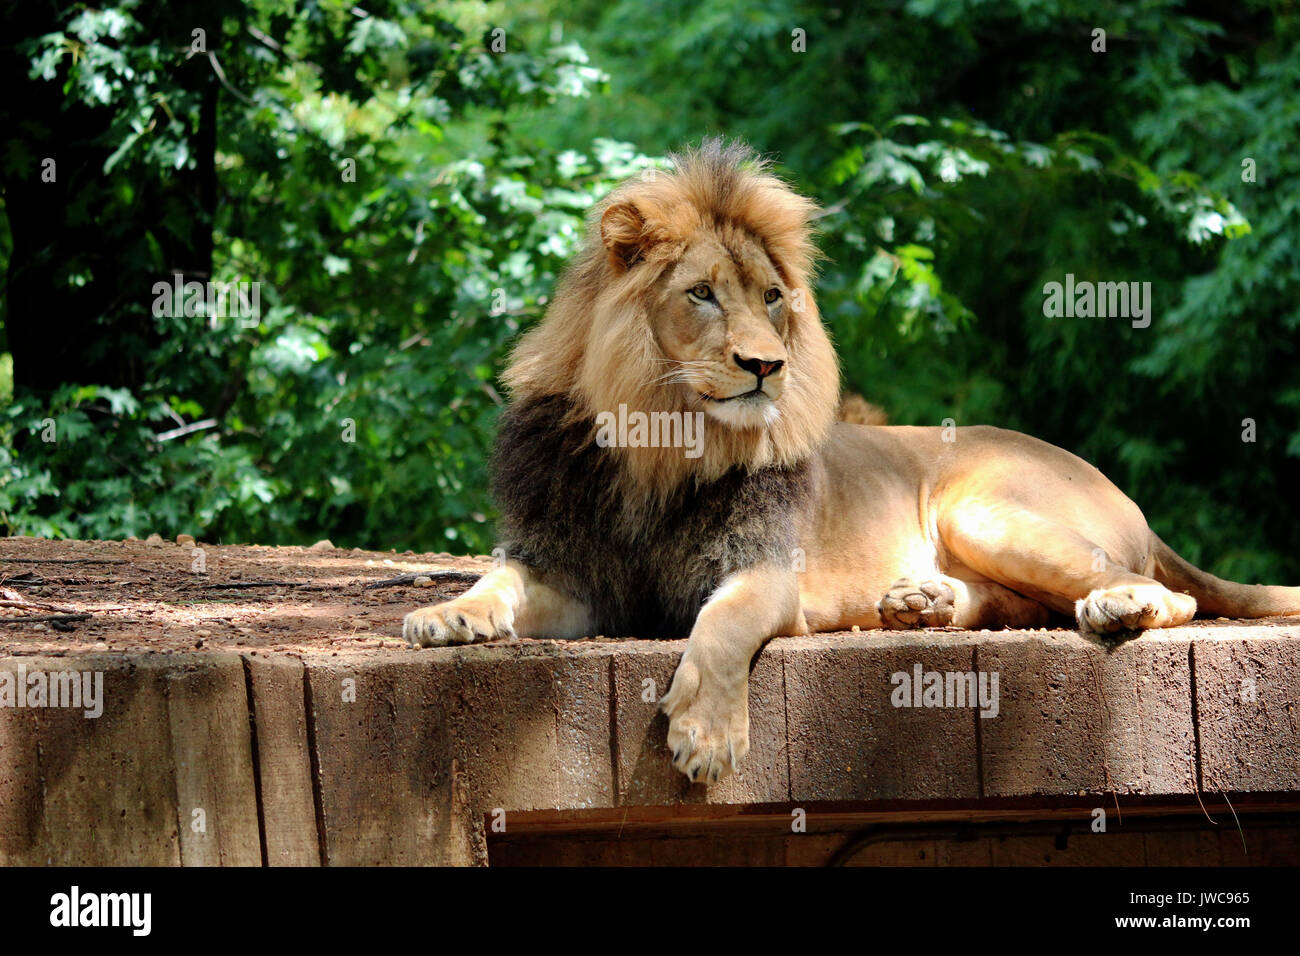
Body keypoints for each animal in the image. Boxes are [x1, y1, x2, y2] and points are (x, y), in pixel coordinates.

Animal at [405, 140, 1300, 785]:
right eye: (701, 294)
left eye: (771, 297)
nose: (765, 366)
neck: (659, 447)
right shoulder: (572, 573)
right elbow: (500, 579)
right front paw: (448, 615)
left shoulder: (766, 572)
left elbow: (720, 629)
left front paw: (706, 732)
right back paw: (922, 602)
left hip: (983, 510)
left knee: (1167, 595)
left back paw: (1113, 606)